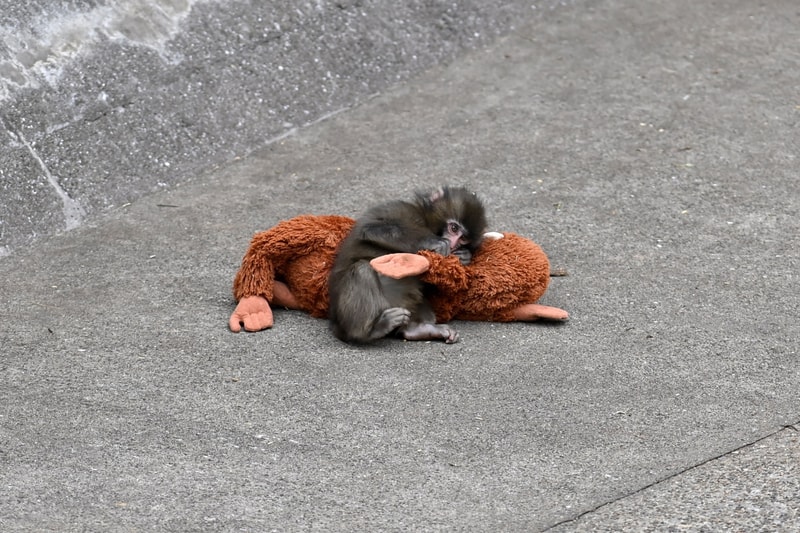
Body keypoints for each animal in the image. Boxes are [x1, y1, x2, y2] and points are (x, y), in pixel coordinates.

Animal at [328, 186, 487, 344]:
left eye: (463, 239)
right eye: (453, 228)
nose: (454, 244)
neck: (424, 220)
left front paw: (464, 256)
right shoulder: (399, 209)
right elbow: (371, 229)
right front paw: (433, 242)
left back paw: (417, 330)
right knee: (362, 270)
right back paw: (370, 331)